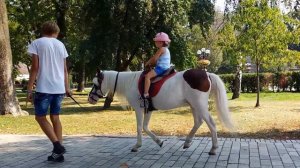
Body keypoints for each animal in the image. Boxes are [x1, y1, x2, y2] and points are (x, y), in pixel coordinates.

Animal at [88, 69, 233, 155]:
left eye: (95, 84)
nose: (90, 98)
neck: (130, 82)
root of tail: (206, 74)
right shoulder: (148, 110)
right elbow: (145, 127)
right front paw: (159, 141)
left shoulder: (139, 109)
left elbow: (139, 127)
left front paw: (137, 145)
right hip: (194, 105)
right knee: (198, 122)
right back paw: (187, 142)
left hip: (200, 105)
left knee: (211, 124)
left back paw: (213, 148)